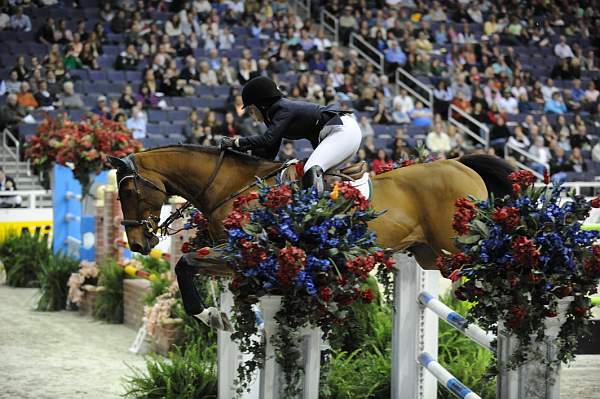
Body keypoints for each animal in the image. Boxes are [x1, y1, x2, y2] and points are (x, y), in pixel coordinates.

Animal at [106, 145, 510, 320]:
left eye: (129, 192)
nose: (138, 244)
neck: (231, 186)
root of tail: (461, 164)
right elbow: (190, 266)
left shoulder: (245, 253)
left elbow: (184, 264)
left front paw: (206, 315)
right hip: (432, 255)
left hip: (457, 245)